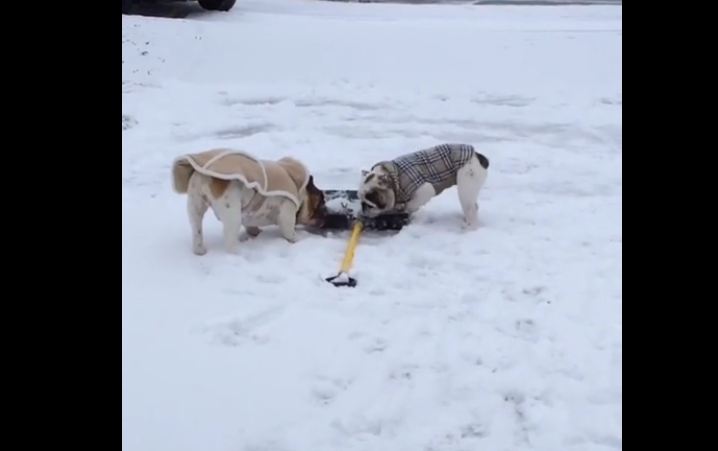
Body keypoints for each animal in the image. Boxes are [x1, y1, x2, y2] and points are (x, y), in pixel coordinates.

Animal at [358, 144, 490, 230]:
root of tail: (477, 155)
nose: (363, 210)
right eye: (361, 202)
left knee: (470, 208)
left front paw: (403, 208)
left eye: (370, 205)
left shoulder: (425, 189)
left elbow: (411, 205)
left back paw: (470, 227)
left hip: (466, 184)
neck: (393, 179)